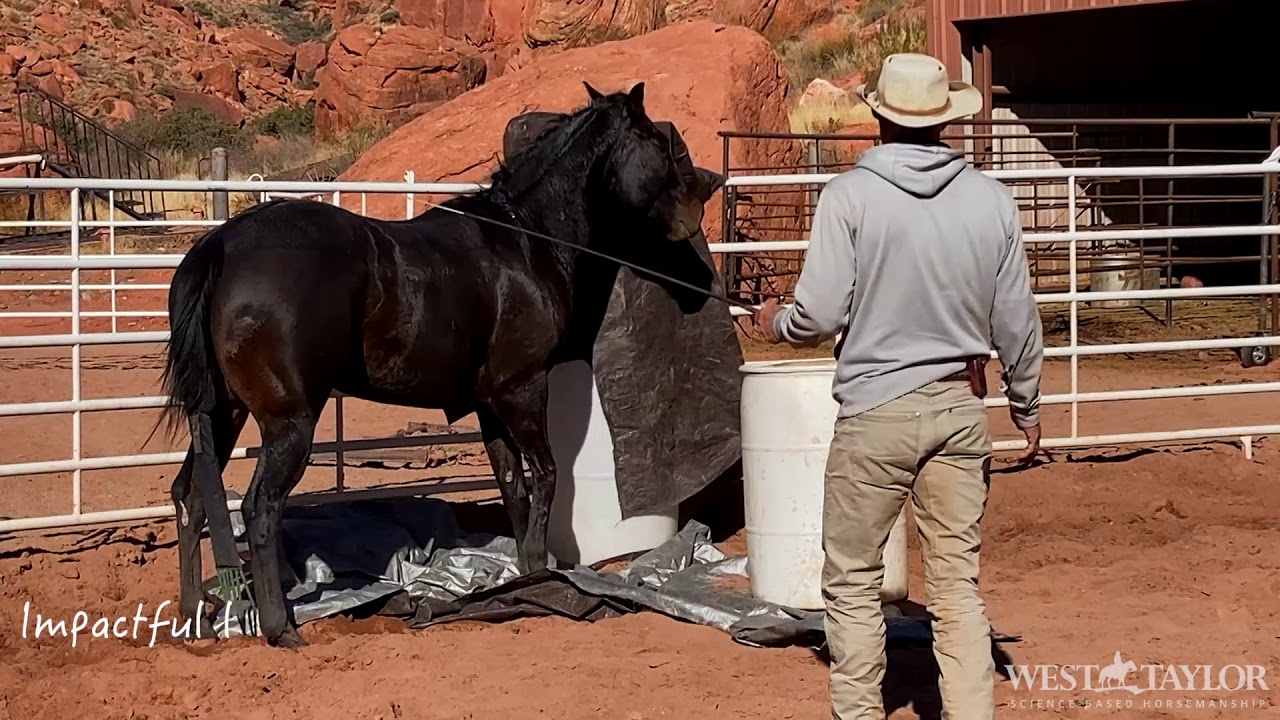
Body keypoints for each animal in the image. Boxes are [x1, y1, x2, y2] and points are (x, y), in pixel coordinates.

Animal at [155, 81, 727, 648]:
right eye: (657, 141)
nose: (702, 195)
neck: (525, 241)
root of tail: (222, 244)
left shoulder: (490, 405)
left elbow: (513, 488)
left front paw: (527, 577)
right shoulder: (522, 389)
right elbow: (545, 476)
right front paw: (541, 572)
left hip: (222, 414)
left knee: (189, 496)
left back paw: (191, 617)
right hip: (289, 423)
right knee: (260, 508)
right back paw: (281, 627)